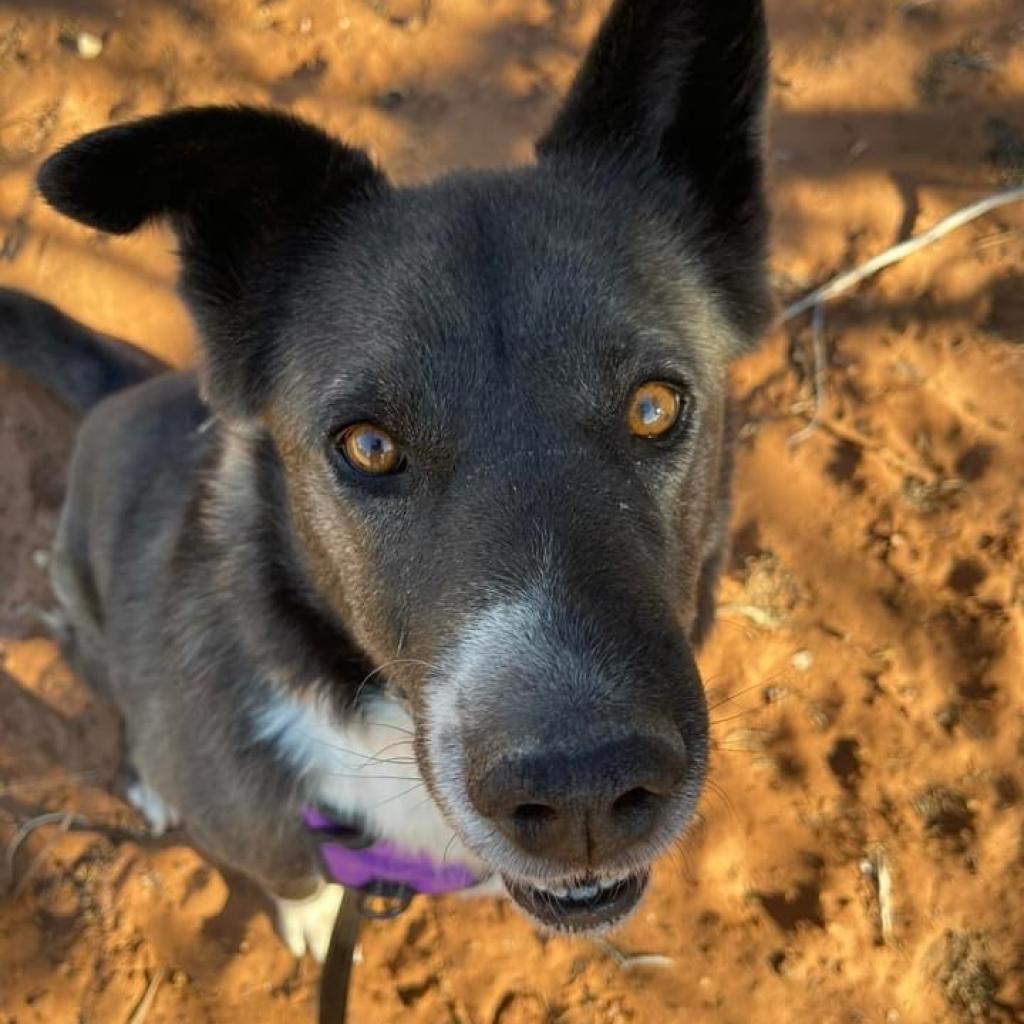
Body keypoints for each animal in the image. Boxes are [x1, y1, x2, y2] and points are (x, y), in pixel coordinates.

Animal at [0, 0, 770, 958]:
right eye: (367, 446)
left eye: (655, 407)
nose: (583, 792)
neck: (374, 718)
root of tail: (122, 387)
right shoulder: (256, 818)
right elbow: (290, 869)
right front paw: (309, 914)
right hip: (80, 599)